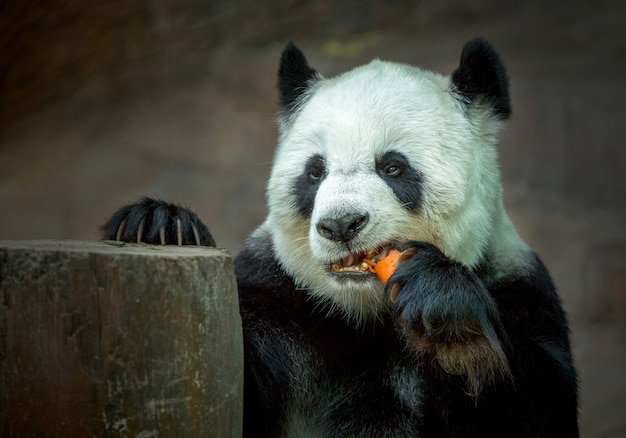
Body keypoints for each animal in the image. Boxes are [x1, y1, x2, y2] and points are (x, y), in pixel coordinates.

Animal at [101, 39, 576, 436]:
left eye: (393, 167)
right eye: (315, 172)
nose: (341, 224)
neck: (365, 315)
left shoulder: (518, 287)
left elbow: (535, 406)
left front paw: (445, 313)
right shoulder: (277, 295)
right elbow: (228, 388)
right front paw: (159, 223)